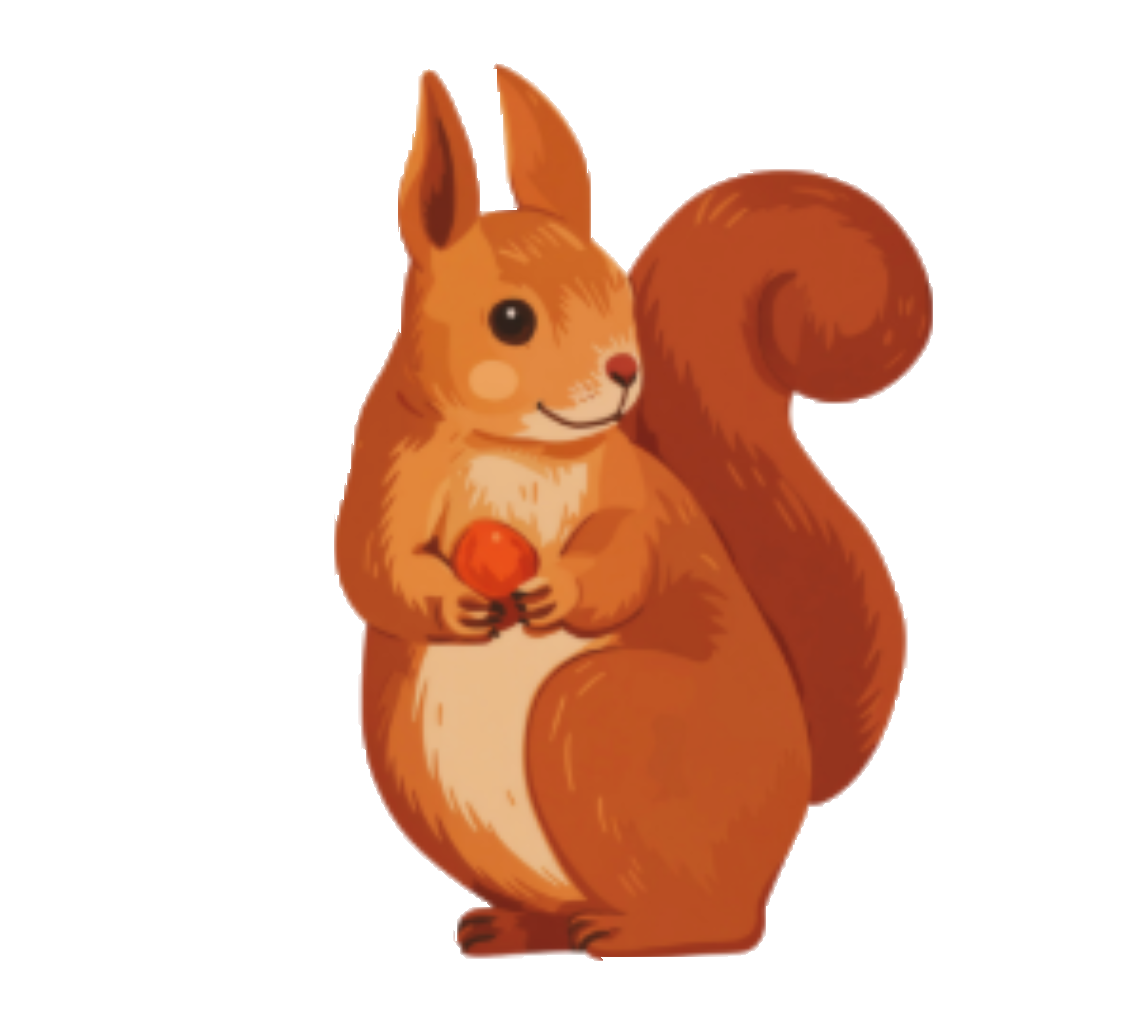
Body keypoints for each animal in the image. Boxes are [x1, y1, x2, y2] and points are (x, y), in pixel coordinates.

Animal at [335, 66, 932, 958]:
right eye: (509, 319)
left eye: (616, 287)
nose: (624, 369)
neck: (517, 446)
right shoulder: (386, 468)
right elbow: (370, 564)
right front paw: (449, 600)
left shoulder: (632, 491)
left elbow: (624, 556)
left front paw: (559, 589)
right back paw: (516, 926)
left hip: (593, 715)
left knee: (724, 921)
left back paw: (632, 928)